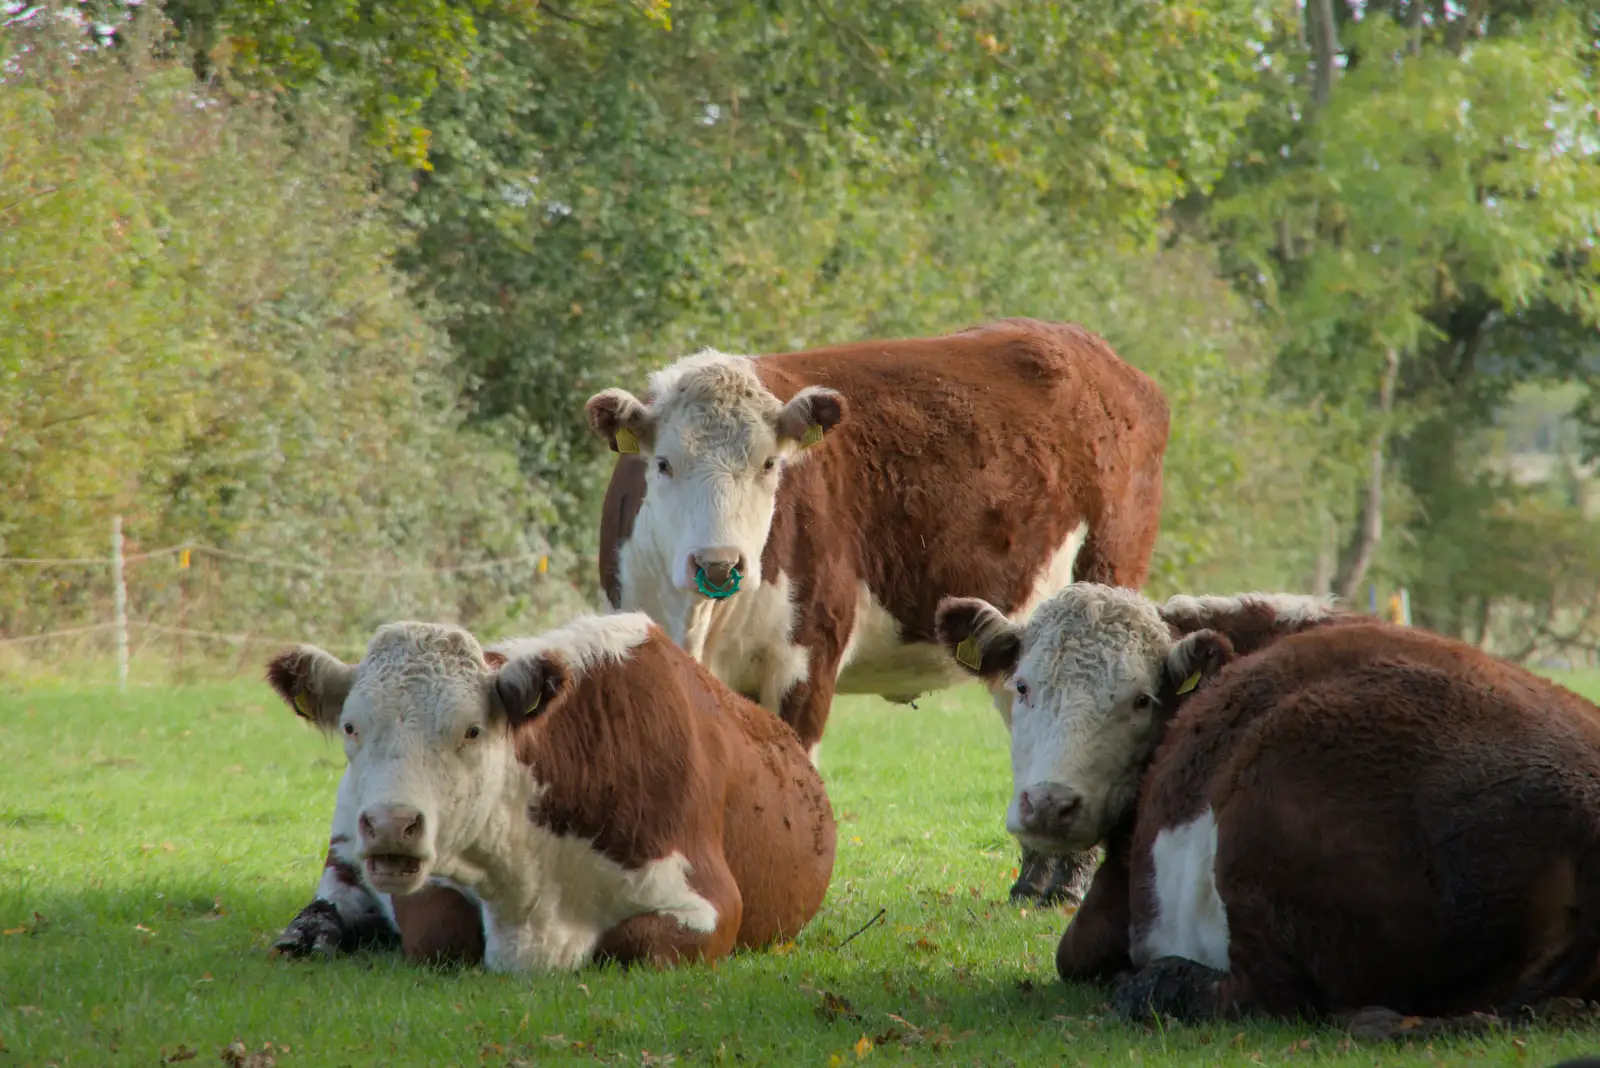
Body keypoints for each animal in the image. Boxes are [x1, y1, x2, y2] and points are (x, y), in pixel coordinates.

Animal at [265, 613, 838, 972]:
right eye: (351, 727)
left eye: (472, 730)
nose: (390, 825)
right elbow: (442, 931)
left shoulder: (709, 902)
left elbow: (635, 942)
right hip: (345, 842)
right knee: (335, 892)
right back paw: (308, 932)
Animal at [582, 319, 1171, 908]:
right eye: (663, 465)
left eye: (769, 464)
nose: (719, 564)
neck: (699, 620)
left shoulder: (806, 661)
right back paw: (1032, 881)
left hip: (1107, 580)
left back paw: (1066, 883)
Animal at [934, 585, 1600, 1023]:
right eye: (1022, 686)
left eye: (1142, 700)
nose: (1050, 804)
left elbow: (1072, 955)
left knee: (1266, 993)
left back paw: (1159, 985)